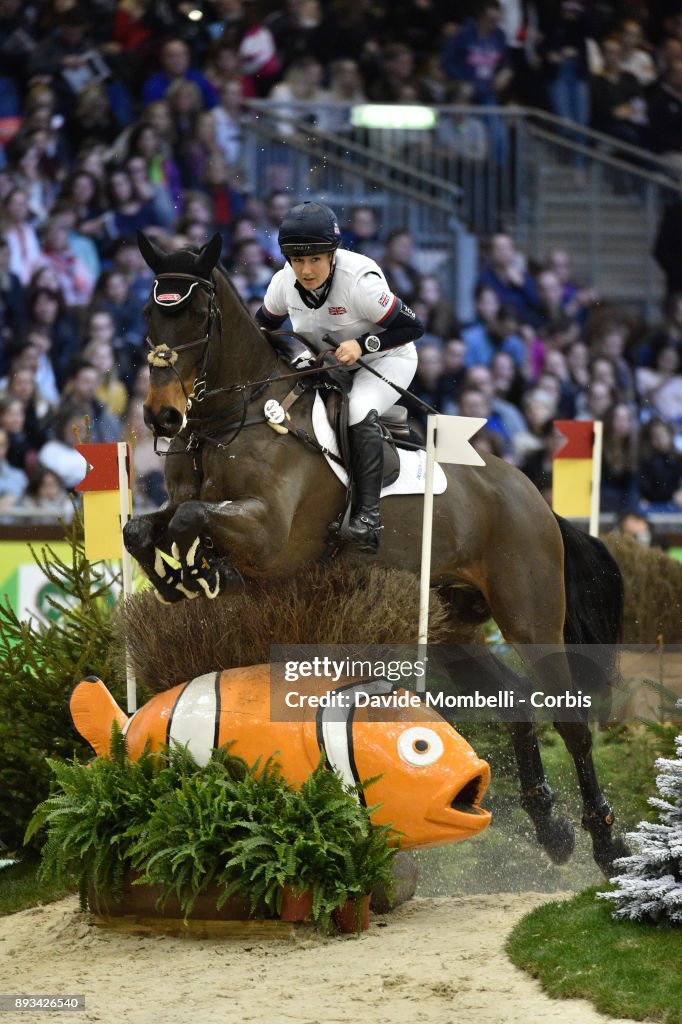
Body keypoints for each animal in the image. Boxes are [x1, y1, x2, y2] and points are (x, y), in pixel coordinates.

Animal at [123, 232, 626, 872]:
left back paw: (606, 843)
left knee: (571, 718)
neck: (232, 422)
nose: (162, 416)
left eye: (195, 318)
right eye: (148, 314)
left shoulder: (271, 536)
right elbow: (143, 530)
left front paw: (203, 571)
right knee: (512, 697)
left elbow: (192, 521)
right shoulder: (189, 506)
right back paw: (550, 826)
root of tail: (530, 497)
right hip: (448, 624)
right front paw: (179, 578)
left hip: (530, 613)